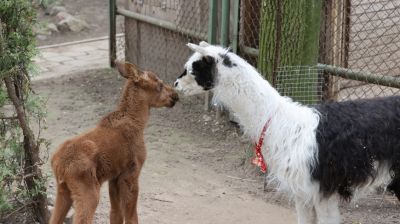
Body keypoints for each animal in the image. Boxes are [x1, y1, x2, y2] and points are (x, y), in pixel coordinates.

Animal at [48, 61, 178, 224]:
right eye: (159, 84)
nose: (175, 95)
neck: (139, 123)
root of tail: (59, 164)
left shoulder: (114, 177)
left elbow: (115, 214)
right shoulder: (131, 172)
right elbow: (131, 215)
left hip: (63, 189)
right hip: (88, 190)